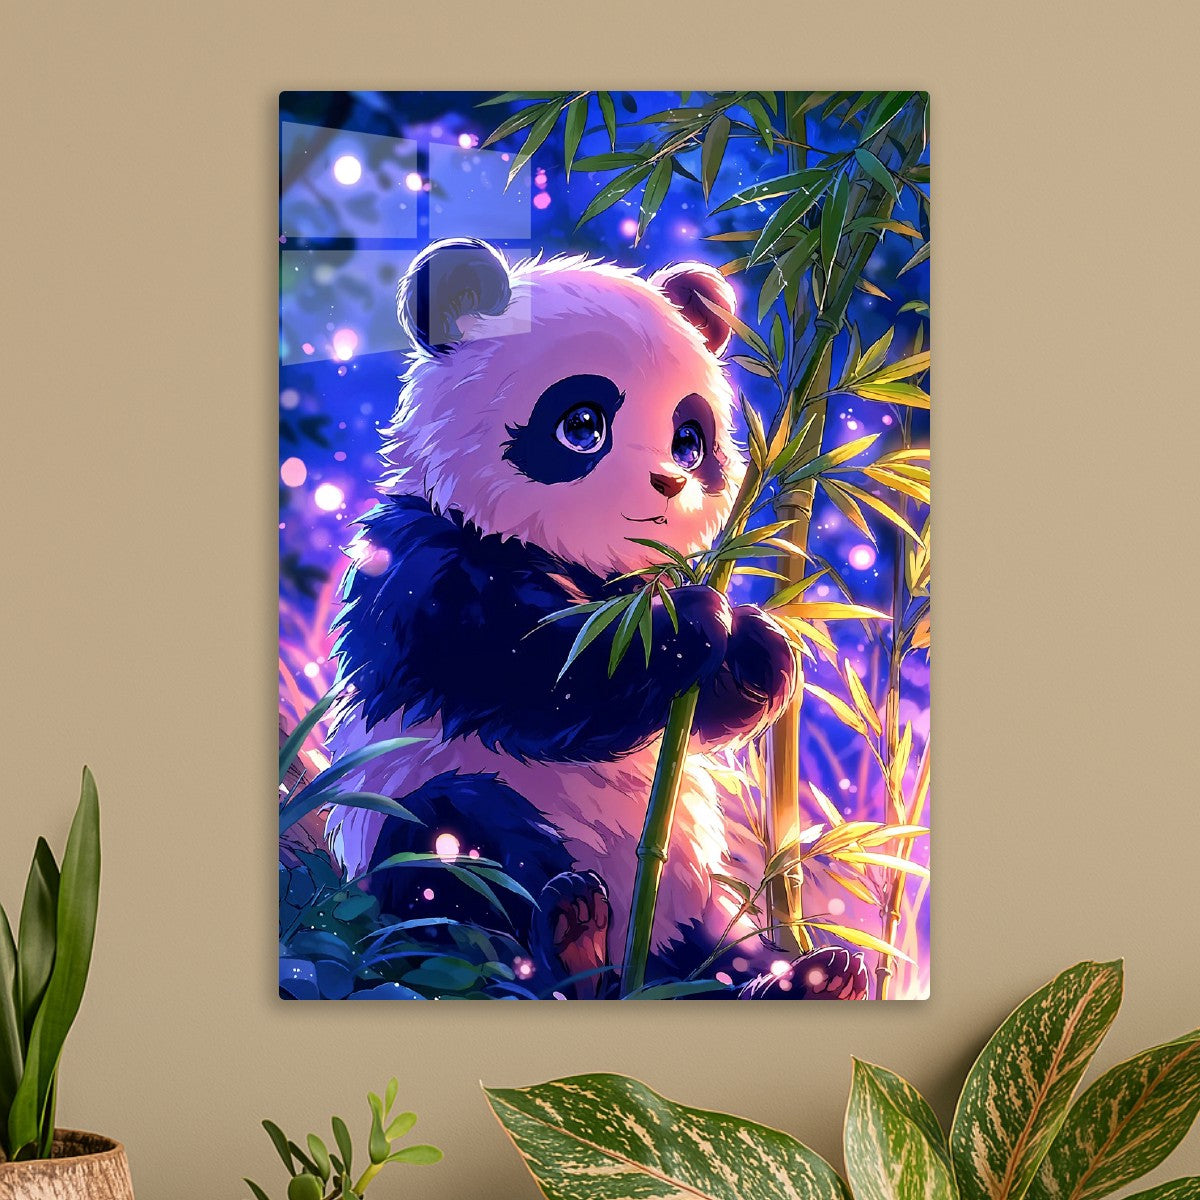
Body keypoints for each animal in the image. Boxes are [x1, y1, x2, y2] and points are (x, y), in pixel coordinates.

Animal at [324, 238, 867, 1000]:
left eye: (690, 438)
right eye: (581, 425)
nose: (669, 482)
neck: (574, 559)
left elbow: (691, 715)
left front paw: (760, 649)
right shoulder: (424, 566)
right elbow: (531, 671)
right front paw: (695, 619)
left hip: (690, 908)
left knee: (720, 957)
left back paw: (808, 977)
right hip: (410, 833)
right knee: (459, 850)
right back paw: (571, 941)